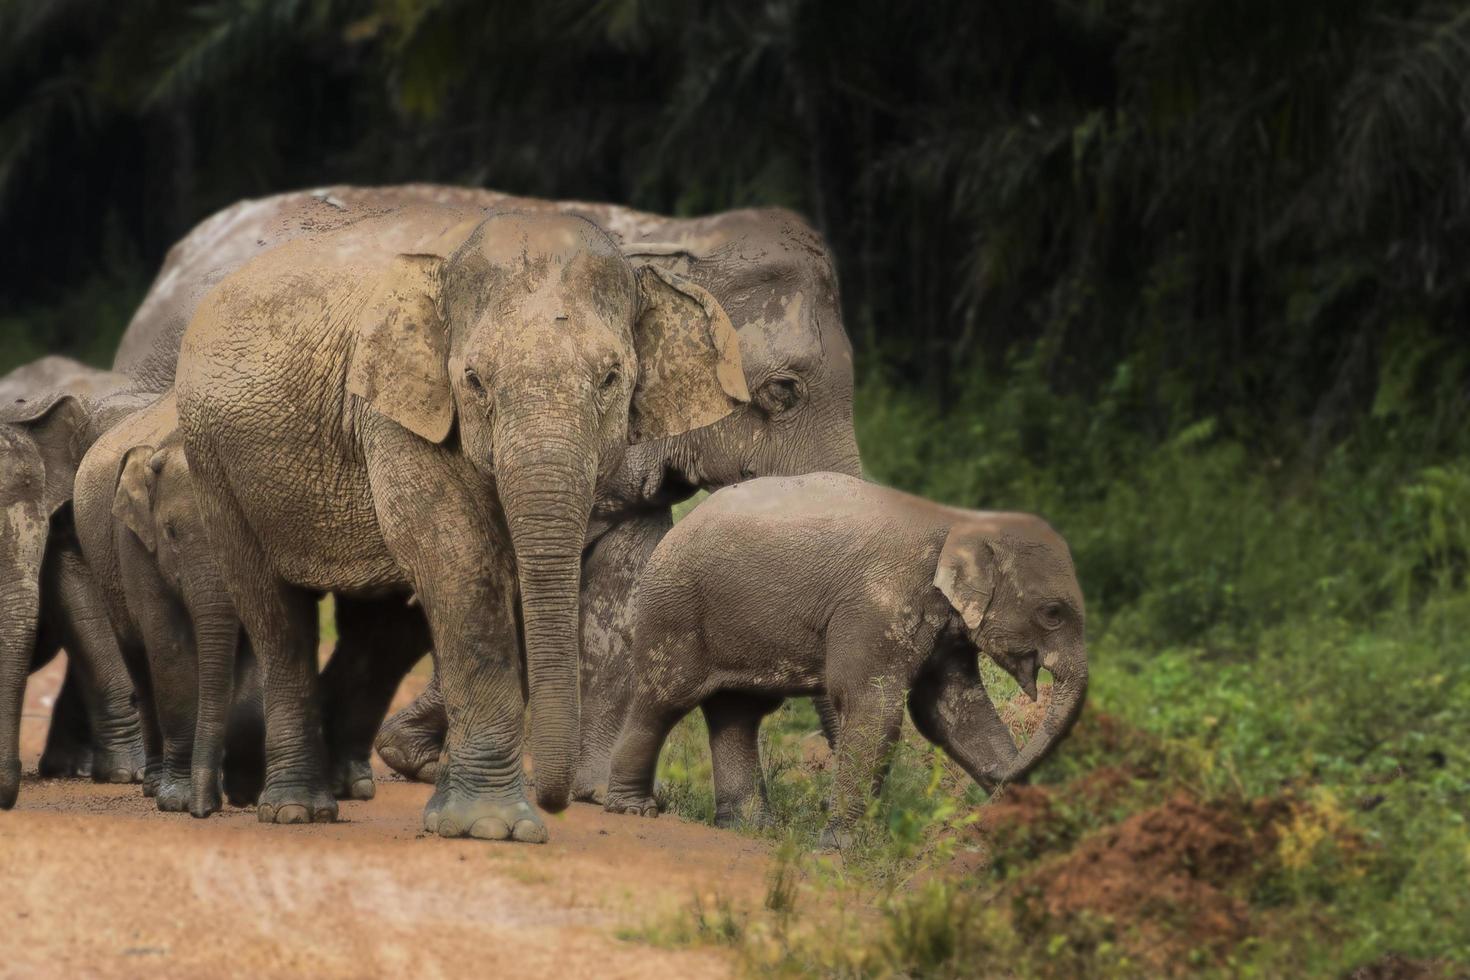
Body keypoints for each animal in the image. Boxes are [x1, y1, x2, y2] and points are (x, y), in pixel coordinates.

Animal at [114, 185, 858, 805]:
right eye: (784, 392)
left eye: (613, 380)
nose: (828, 803)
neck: (678, 237)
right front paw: (424, 761)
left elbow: (620, 587)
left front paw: (592, 793)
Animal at [599, 476, 1093, 846]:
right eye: (1053, 613)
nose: (999, 775)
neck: (962, 522)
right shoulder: (876, 605)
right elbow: (873, 707)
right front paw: (840, 849)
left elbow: (953, 713)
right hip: (674, 608)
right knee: (664, 697)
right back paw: (633, 810)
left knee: (737, 712)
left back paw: (750, 828)